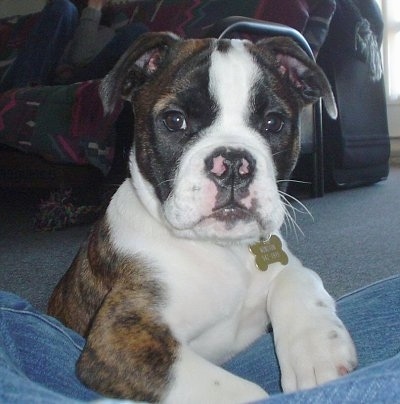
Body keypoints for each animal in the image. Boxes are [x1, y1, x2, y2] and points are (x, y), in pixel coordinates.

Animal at [48, 32, 358, 404]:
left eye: (273, 123)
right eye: (174, 120)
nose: (234, 163)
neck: (224, 249)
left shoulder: (283, 265)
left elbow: (299, 278)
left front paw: (318, 352)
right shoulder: (122, 337)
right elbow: (241, 392)